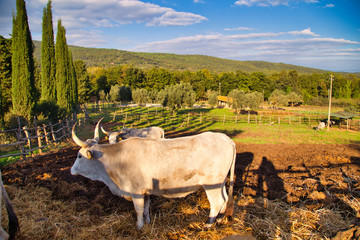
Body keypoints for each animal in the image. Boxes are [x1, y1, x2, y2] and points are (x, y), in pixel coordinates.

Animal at [72, 124, 236, 230]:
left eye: (79, 156)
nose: (72, 170)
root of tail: (227, 139)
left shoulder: (136, 192)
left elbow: (138, 210)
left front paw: (139, 227)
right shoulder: (146, 191)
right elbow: (146, 208)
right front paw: (147, 222)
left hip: (212, 184)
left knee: (217, 202)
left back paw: (208, 224)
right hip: (220, 182)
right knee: (225, 199)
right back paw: (220, 220)